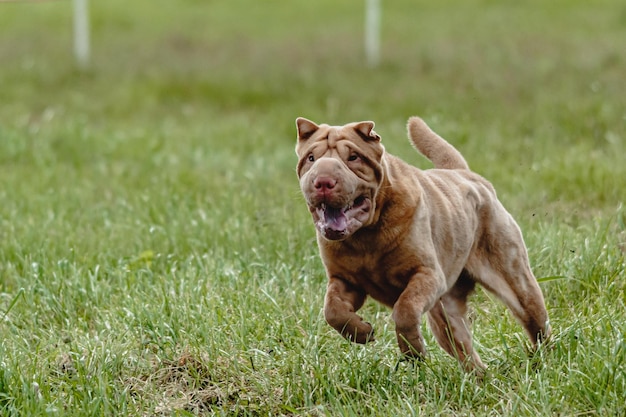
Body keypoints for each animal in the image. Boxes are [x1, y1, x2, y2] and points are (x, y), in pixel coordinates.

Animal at [292, 116, 544, 370]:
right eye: (311, 158)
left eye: (353, 157)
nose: (323, 181)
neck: (366, 236)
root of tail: (461, 172)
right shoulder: (344, 280)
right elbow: (332, 310)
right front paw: (362, 332)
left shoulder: (427, 274)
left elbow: (405, 309)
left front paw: (413, 352)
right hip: (446, 315)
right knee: (465, 350)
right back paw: (482, 376)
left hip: (516, 280)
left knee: (536, 322)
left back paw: (542, 359)